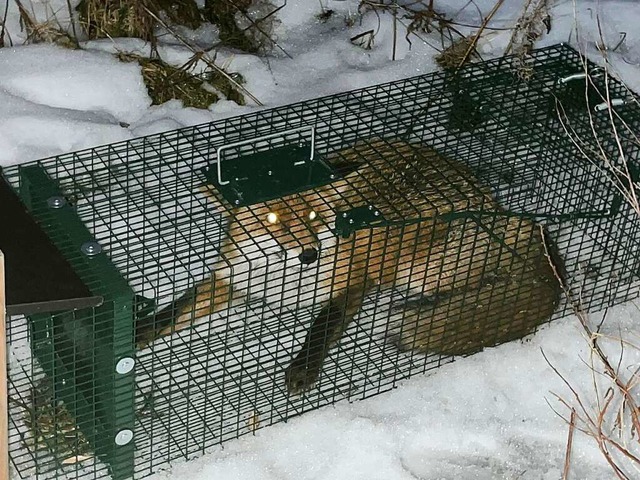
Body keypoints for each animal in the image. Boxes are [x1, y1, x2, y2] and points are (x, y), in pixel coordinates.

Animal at [138, 138, 564, 394]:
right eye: (273, 220)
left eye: (313, 215)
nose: (309, 254)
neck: (283, 279)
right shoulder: (232, 278)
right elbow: (174, 310)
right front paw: (140, 331)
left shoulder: (356, 280)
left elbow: (323, 326)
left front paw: (303, 368)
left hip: (414, 268)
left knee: (493, 287)